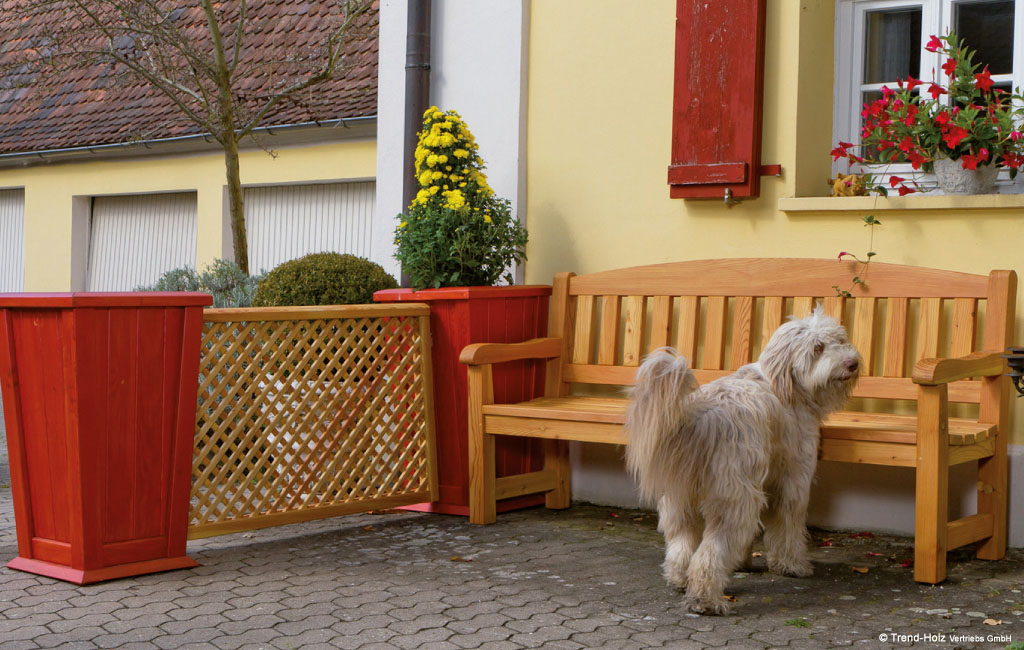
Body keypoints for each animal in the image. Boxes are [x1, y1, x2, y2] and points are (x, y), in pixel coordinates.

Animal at [622, 309, 856, 614]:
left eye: (839, 340)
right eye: (818, 348)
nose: (853, 363)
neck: (783, 382)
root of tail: (703, 416)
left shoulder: (764, 480)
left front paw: (743, 561)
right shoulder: (792, 480)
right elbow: (788, 524)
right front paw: (792, 565)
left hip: (680, 497)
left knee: (681, 543)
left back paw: (679, 579)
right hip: (734, 498)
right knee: (710, 551)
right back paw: (705, 599)